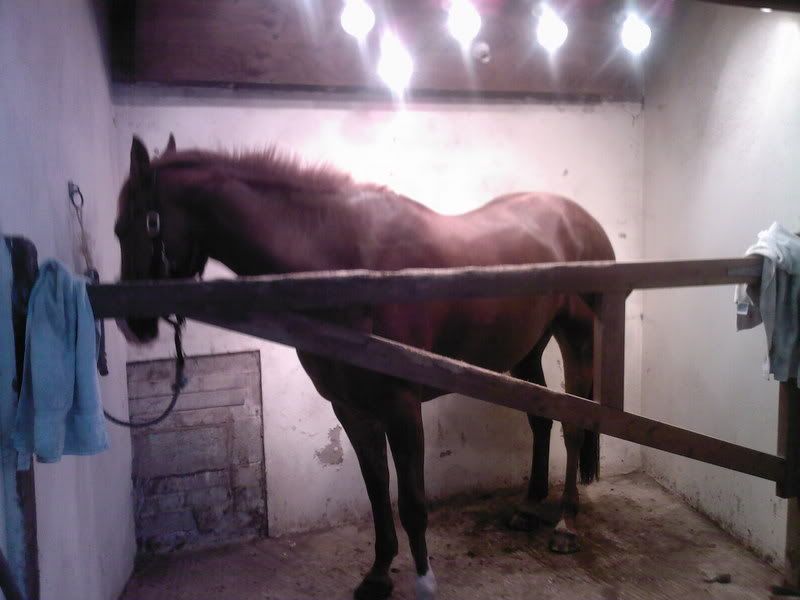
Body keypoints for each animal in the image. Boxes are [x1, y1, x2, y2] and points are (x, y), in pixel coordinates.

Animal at [114, 134, 615, 600]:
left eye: (127, 226)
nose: (131, 324)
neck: (348, 265)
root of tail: (583, 221)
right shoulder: (351, 409)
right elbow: (376, 493)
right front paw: (377, 575)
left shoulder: (401, 406)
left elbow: (411, 501)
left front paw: (424, 582)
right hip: (527, 350)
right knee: (541, 419)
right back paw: (529, 507)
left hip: (578, 340)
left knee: (574, 426)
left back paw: (566, 525)